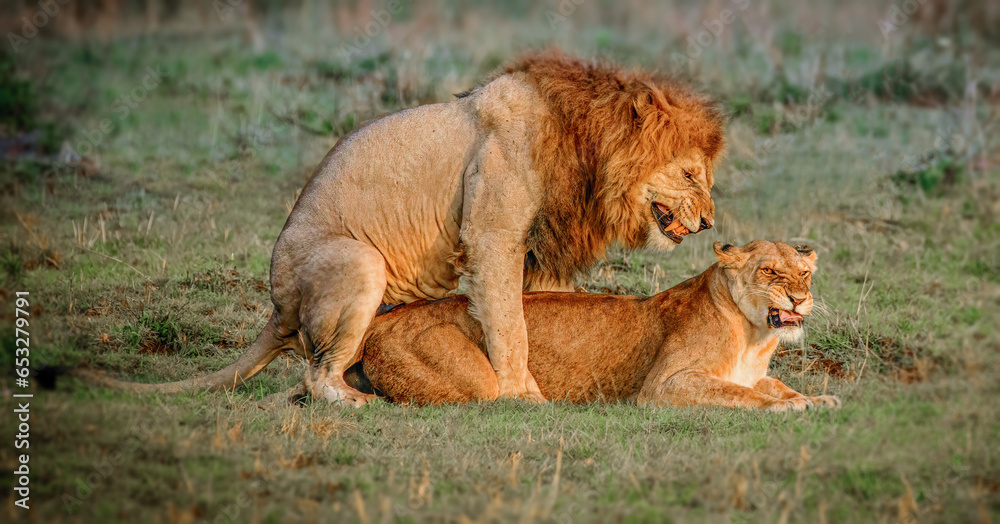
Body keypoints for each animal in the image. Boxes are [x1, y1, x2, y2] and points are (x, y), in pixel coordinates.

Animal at [83, 52, 725, 406]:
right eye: (691, 174)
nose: (711, 222)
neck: (585, 144)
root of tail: (277, 308)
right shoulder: (492, 235)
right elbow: (510, 326)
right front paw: (522, 395)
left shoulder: (542, 250)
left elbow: (539, 317)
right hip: (359, 262)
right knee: (320, 374)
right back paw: (351, 403)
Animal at [352, 241, 841, 411]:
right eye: (771, 271)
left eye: (804, 274)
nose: (800, 298)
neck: (755, 335)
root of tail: (387, 317)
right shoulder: (663, 386)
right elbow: (739, 395)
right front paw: (789, 408)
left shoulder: (753, 373)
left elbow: (774, 386)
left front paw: (817, 399)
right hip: (472, 375)